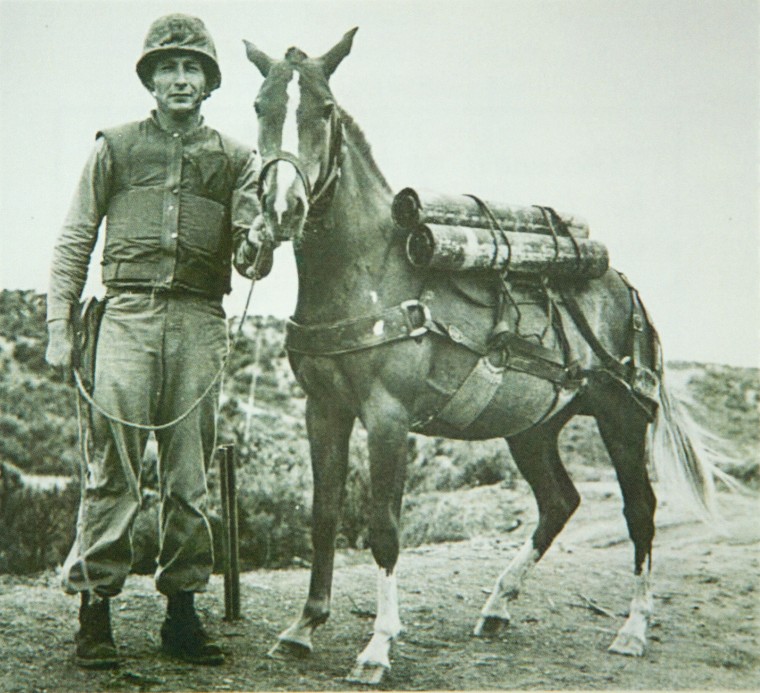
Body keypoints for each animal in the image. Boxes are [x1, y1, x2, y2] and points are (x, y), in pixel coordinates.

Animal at [242, 28, 732, 688]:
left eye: (323, 109)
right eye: (259, 107)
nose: (283, 209)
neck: (368, 273)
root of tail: (626, 289)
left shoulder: (388, 417)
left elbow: (384, 528)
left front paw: (378, 646)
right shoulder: (323, 410)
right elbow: (322, 515)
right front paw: (303, 627)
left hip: (621, 418)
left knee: (640, 510)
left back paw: (633, 627)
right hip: (533, 428)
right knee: (560, 502)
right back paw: (498, 604)